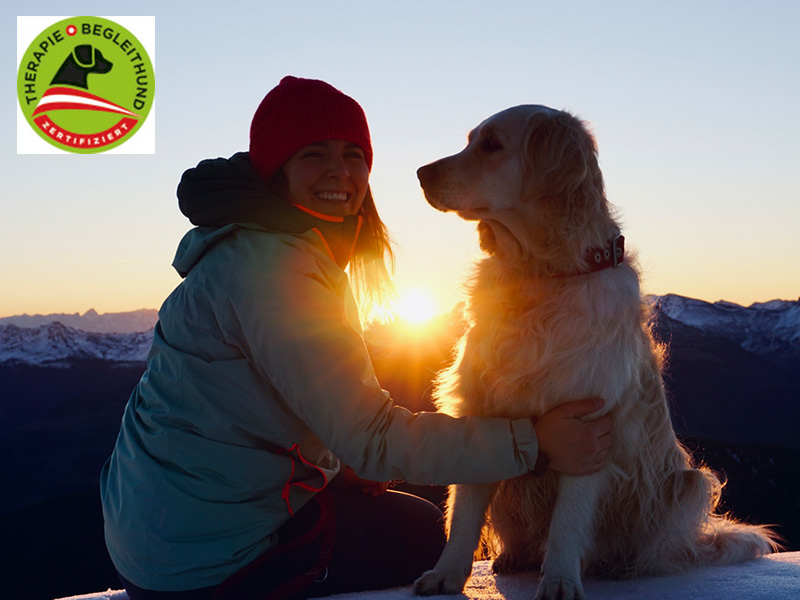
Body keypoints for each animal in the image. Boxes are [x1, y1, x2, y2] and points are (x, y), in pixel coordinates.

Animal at [410, 106, 780, 600]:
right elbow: (465, 511)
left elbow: (568, 521)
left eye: (491, 144)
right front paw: (446, 574)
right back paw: (515, 556)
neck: (542, 275)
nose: (420, 172)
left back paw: (624, 565)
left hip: (687, 484)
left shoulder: (589, 425)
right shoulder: (480, 407)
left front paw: (561, 580)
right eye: (470, 139)